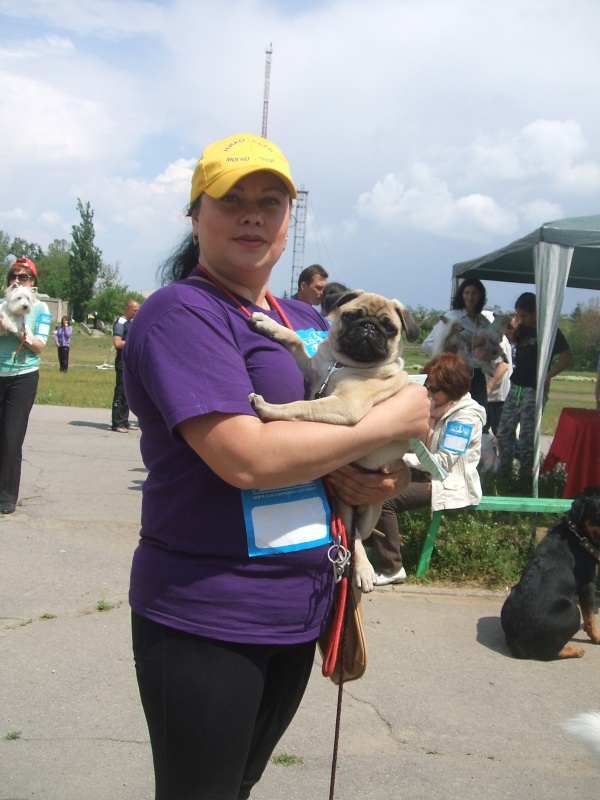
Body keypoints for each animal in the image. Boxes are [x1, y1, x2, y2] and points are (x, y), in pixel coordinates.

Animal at [248, 289, 420, 593]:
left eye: (389, 328)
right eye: (351, 316)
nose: (369, 327)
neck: (341, 365)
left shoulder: (345, 405)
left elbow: (300, 406)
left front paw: (270, 409)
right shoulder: (312, 370)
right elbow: (295, 342)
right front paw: (269, 325)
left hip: (370, 511)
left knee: (359, 538)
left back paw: (364, 571)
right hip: (344, 508)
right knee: (351, 537)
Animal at [500, 496, 600, 660]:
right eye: (598, 515)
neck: (578, 532)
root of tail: (518, 642)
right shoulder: (588, 584)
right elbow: (590, 617)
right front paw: (597, 638)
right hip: (572, 611)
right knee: (549, 653)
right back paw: (573, 650)